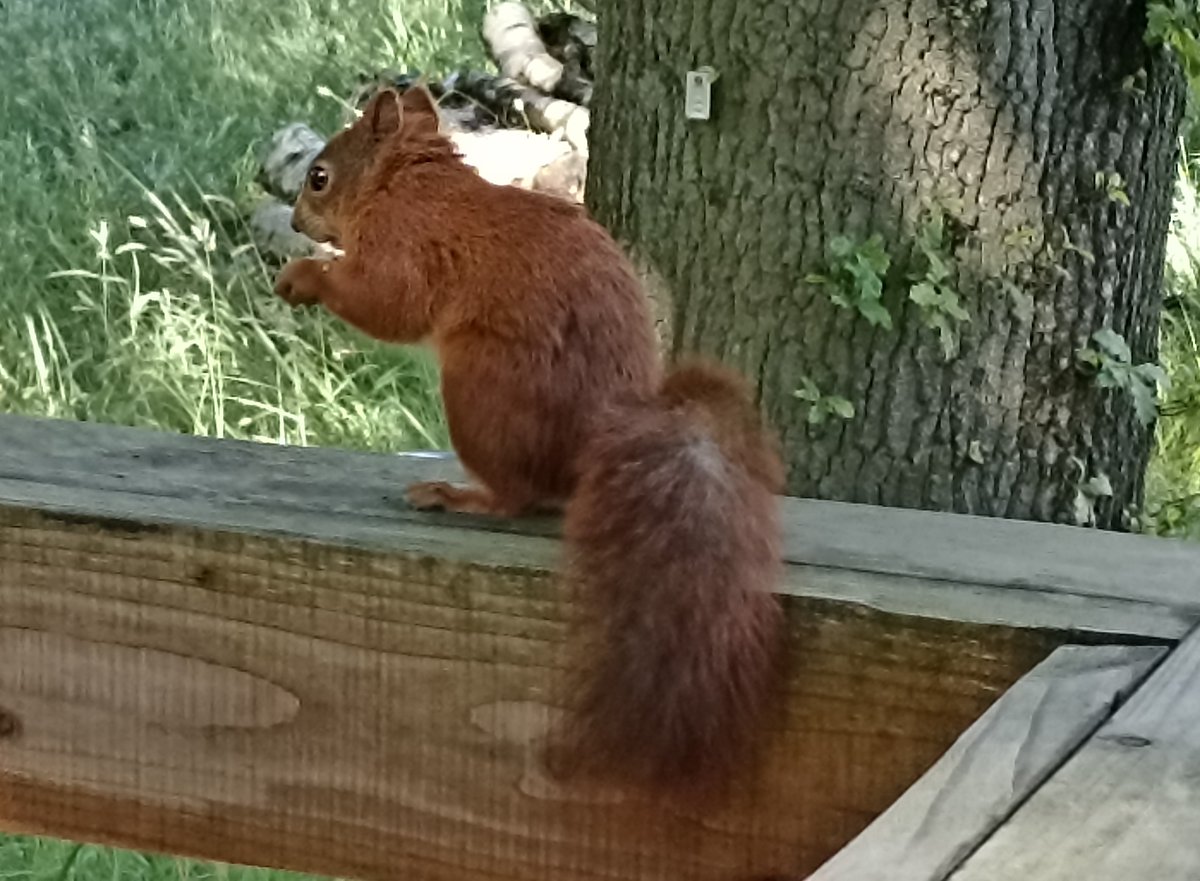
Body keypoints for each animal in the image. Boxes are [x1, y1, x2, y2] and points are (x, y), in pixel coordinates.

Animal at [274, 84, 787, 798]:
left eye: (319, 176)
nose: (296, 222)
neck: (410, 184)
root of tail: (603, 439)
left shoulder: (407, 247)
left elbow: (388, 303)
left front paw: (307, 276)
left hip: (481, 391)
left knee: (518, 497)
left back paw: (457, 495)